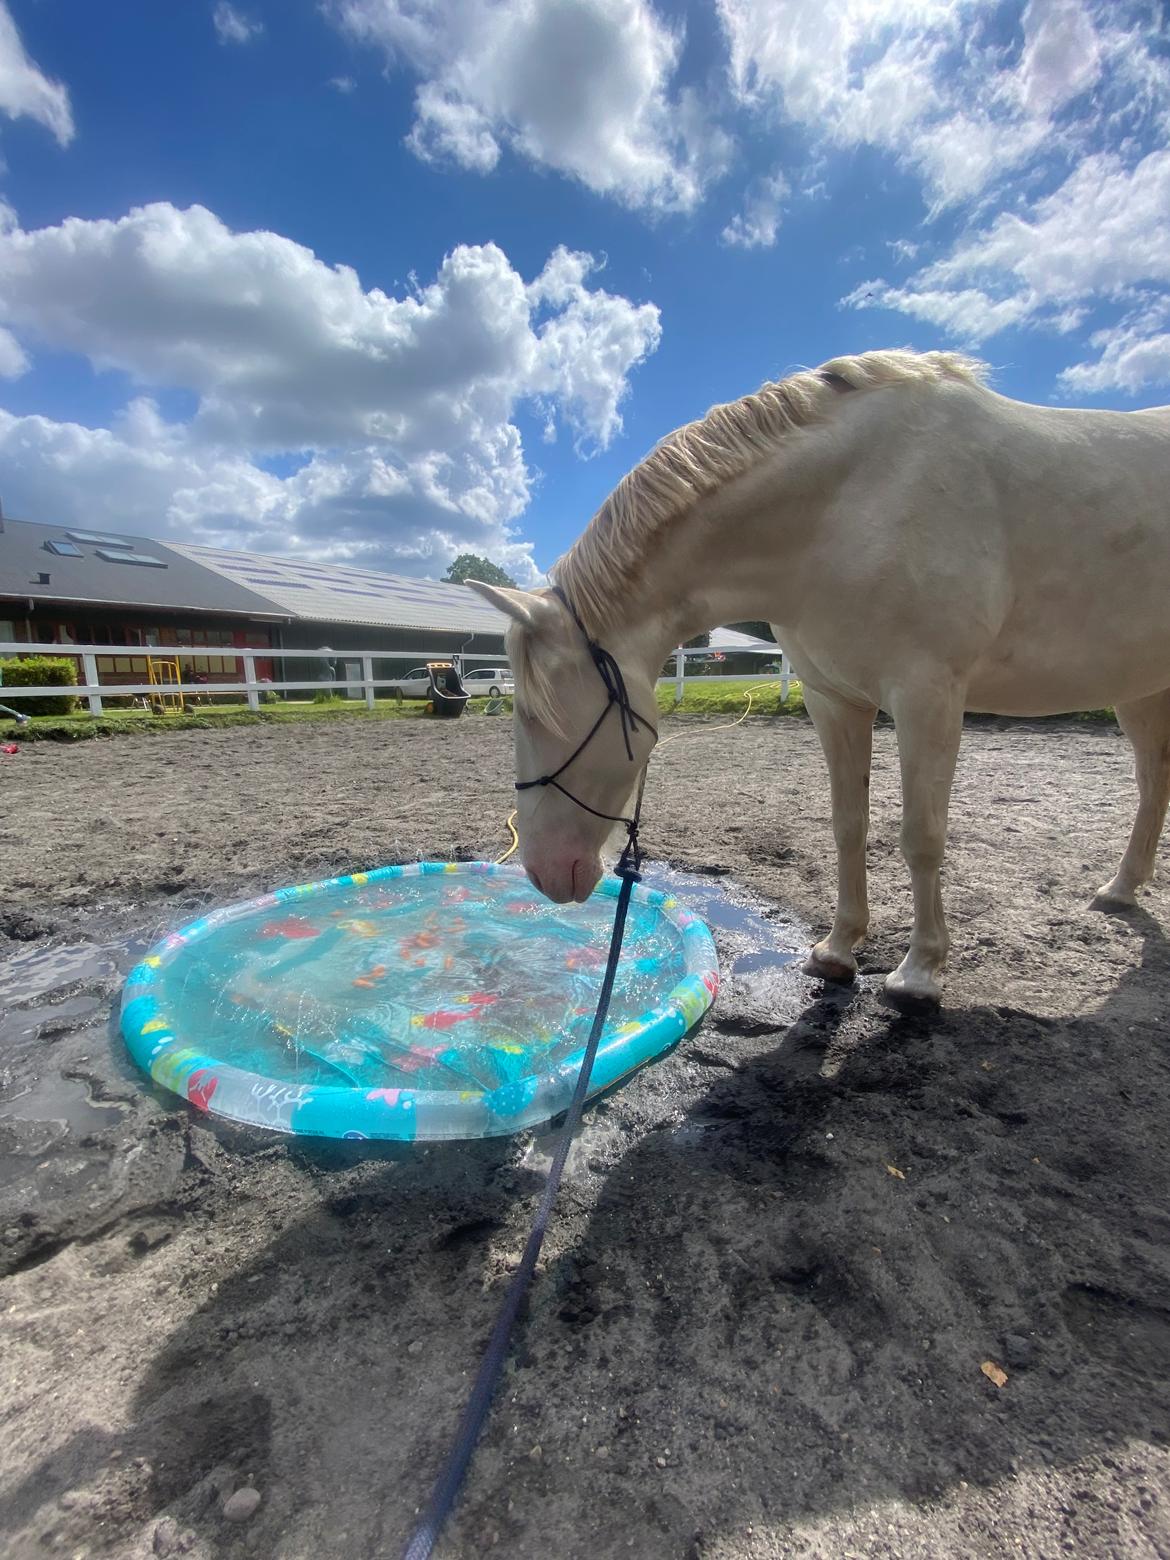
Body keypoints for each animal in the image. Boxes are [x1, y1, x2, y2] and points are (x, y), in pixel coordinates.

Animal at [474, 351, 1170, 1010]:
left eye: (536, 714)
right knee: (1152, 783)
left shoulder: (927, 695)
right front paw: (838, 951)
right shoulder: (834, 701)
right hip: (1141, 692)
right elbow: (847, 825)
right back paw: (1120, 890)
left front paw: (920, 973)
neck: (850, 504)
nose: (540, 872)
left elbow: (921, 835)